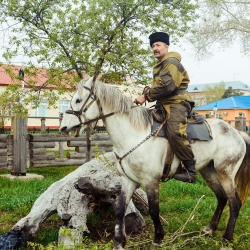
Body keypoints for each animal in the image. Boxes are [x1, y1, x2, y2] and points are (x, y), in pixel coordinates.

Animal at [59, 77, 250, 249]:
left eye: (78, 100)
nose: (62, 128)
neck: (134, 135)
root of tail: (237, 133)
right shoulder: (128, 180)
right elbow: (120, 209)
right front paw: (119, 242)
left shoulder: (151, 181)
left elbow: (153, 210)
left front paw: (158, 238)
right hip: (209, 171)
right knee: (222, 198)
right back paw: (210, 228)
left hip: (225, 173)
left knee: (234, 203)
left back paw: (227, 238)